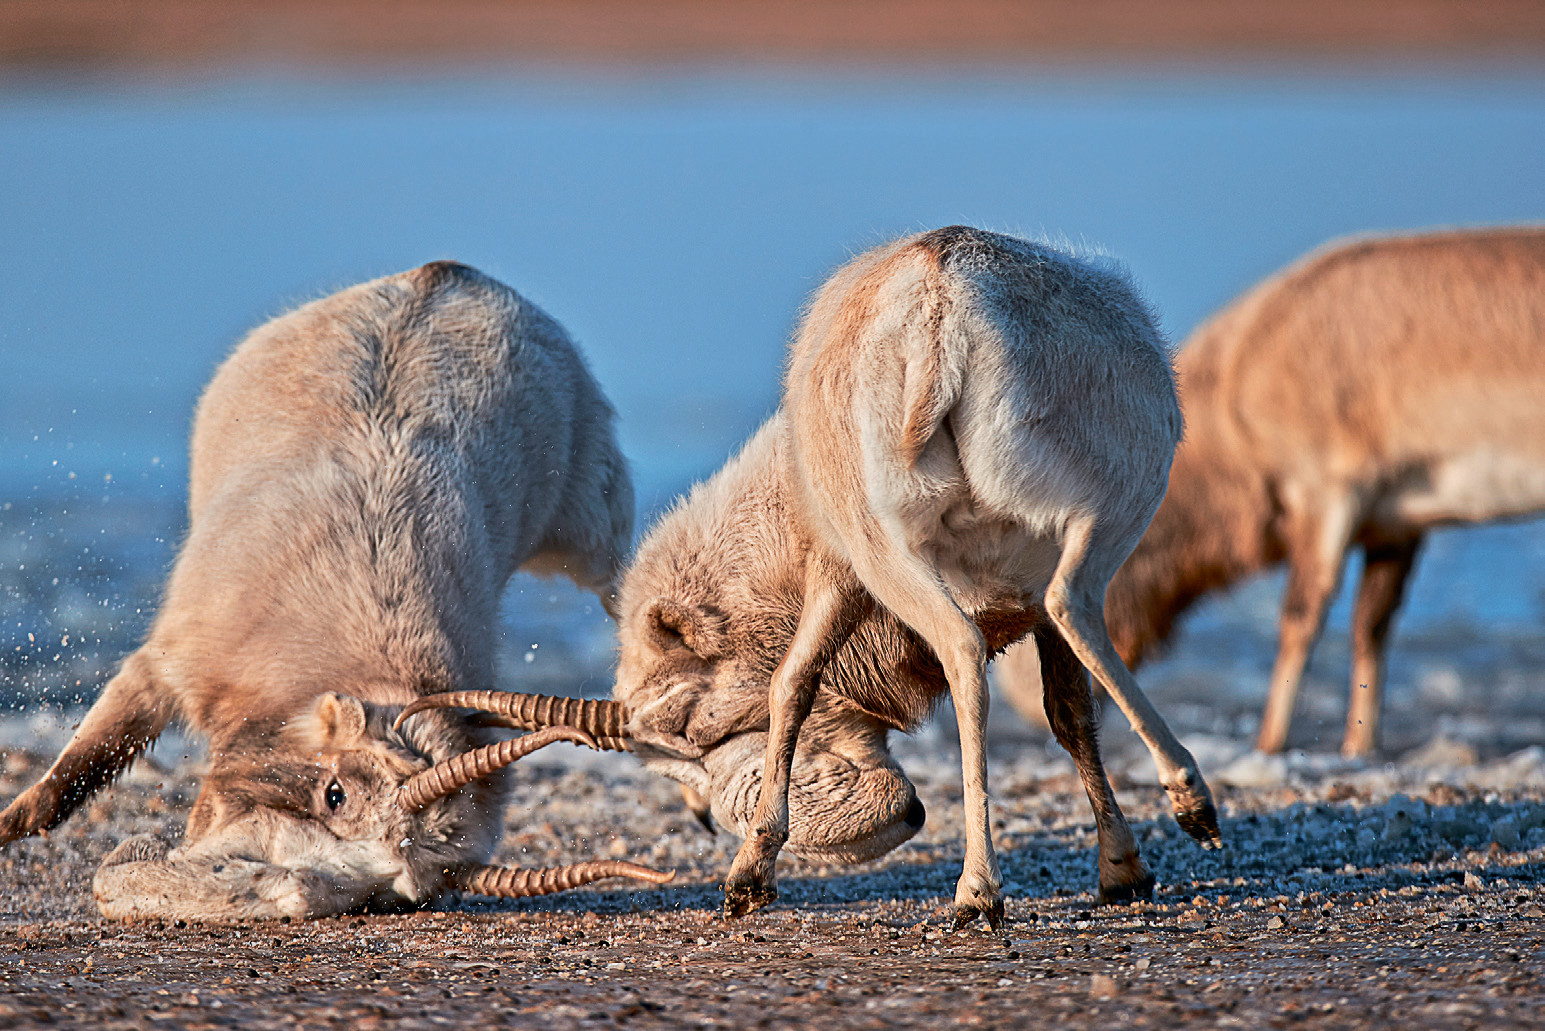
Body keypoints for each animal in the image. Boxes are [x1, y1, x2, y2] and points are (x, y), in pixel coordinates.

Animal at [0, 261, 671, 920]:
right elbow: (83, 764)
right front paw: (12, 823)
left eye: (388, 893)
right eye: (335, 794)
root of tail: (457, 278)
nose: (225, 879)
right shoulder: (165, 664)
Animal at [594, 227, 1220, 929]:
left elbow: (792, 684)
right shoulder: (863, 574)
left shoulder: (836, 568)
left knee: (1019, 625)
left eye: (683, 728)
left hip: (938, 535)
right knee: (1044, 614)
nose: (706, 818)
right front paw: (1122, 867)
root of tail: (938, 307)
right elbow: (1066, 717)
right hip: (1055, 521)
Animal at [994, 226, 1545, 758]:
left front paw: (1269, 742)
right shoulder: (1396, 522)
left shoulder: (1327, 491)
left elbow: (1302, 617)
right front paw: (1360, 747)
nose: (1031, 711)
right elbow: (1371, 626)